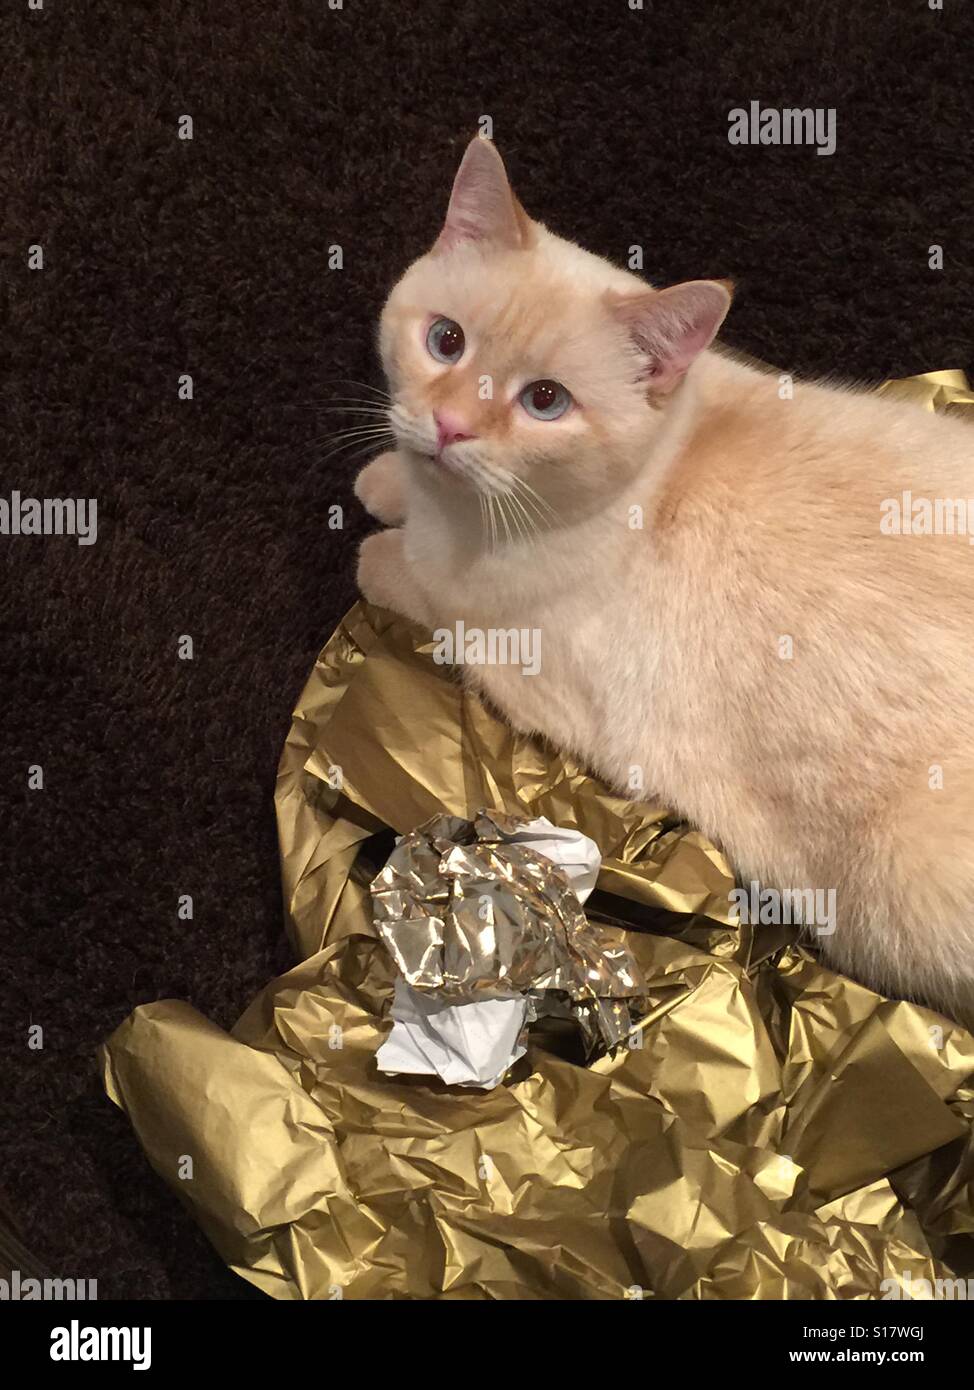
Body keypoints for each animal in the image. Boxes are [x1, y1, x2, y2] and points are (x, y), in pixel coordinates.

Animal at [352, 135, 972, 1028]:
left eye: (545, 401)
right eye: (445, 341)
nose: (448, 427)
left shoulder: (502, 645)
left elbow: (410, 576)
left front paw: (379, 538)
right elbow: (403, 491)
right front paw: (385, 478)